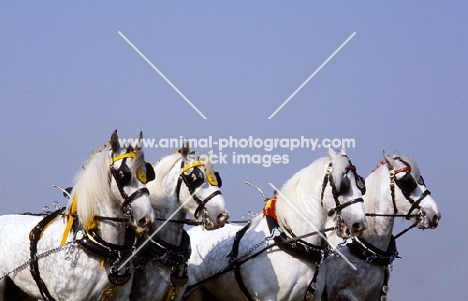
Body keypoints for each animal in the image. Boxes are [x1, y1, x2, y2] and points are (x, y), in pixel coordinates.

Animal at [183, 148, 370, 300]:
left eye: (361, 186)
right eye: (343, 186)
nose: (359, 224)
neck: (291, 240)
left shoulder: (314, 297)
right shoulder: (268, 298)